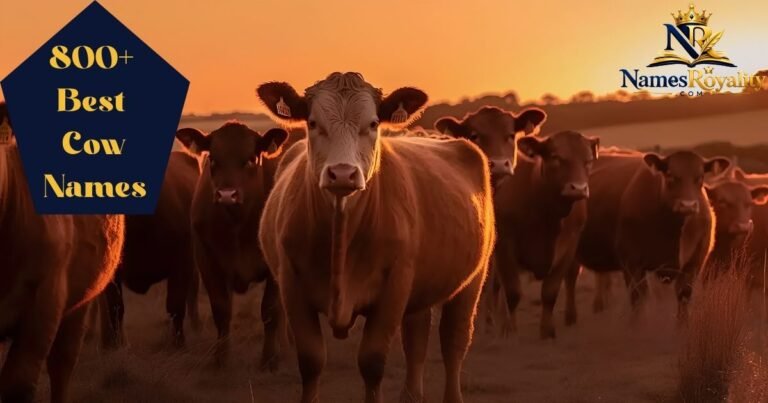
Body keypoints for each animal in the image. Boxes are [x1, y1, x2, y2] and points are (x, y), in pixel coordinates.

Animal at [98, 151, 201, 349]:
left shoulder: (182, 262)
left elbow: (176, 305)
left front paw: (178, 343)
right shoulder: (111, 272)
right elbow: (115, 307)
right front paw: (116, 346)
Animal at [175, 121, 288, 370]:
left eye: (250, 159)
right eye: (213, 159)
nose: (227, 195)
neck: (238, 224)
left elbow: (271, 311)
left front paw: (269, 360)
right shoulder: (208, 261)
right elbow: (222, 310)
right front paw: (221, 359)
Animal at [256, 72, 495, 403]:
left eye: (372, 123)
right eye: (313, 123)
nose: (342, 173)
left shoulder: (394, 286)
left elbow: (372, 362)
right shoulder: (291, 284)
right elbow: (311, 360)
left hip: (472, 280)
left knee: (453, 342)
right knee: (417, 340)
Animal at [576, 150, 729, 321]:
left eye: (700, 177)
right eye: (670, 175)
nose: (688, 205)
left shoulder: (694, 263)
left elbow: (683, 299)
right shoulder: (632, 263)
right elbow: (638, 302)